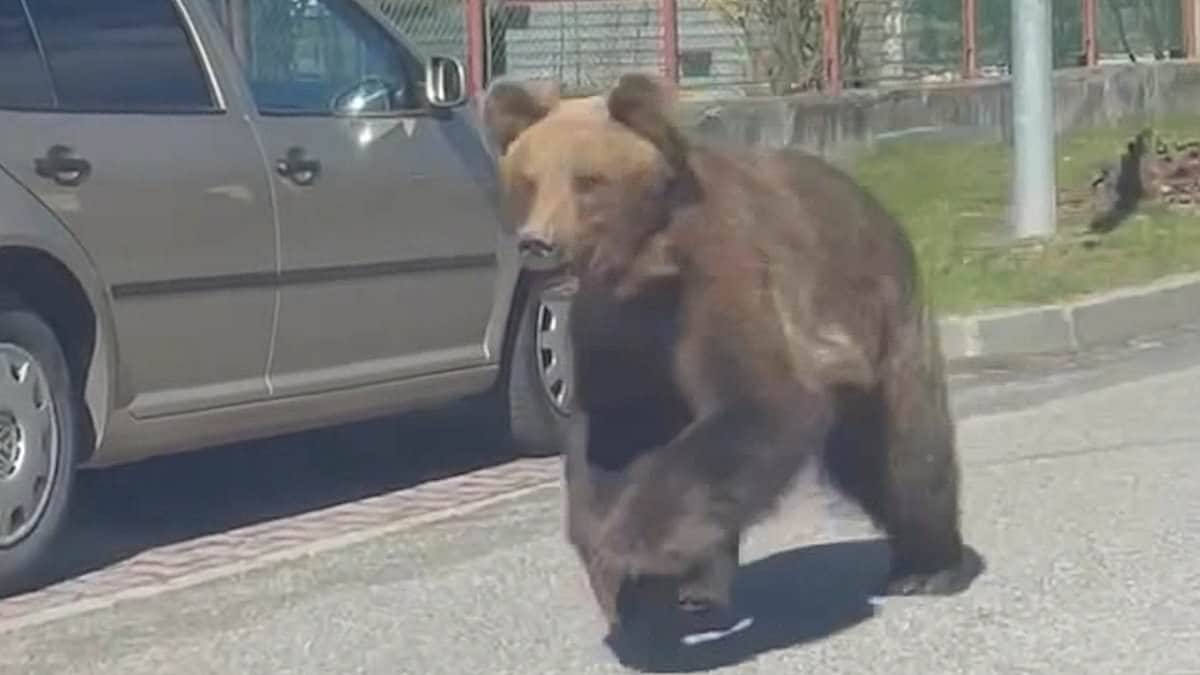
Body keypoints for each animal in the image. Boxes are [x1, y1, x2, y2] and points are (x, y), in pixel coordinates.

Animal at [482, 72, 979, 638]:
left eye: (588, 181)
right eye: (527, 181)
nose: (538, 244)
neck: (648, 269)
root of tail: (877, 205)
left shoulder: (725, 278)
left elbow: (761, 403)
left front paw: (633, 550)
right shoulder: (616, 329)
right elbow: (615, 434)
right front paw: (623, 580)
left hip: (880, 320)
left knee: (903, 447)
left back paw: (930, 566)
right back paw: (702, 588)